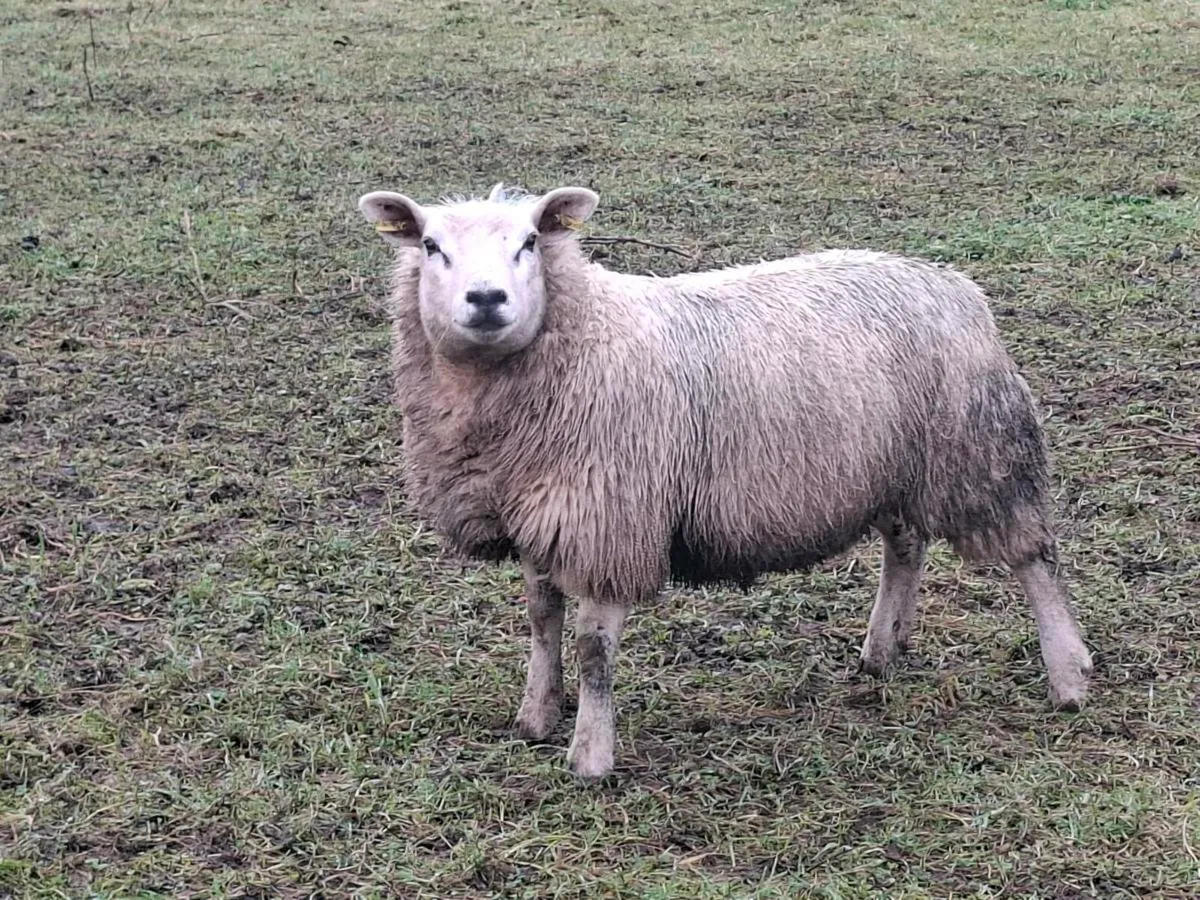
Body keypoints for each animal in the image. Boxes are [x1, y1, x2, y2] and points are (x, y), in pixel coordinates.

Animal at [356, 182, 1093, 780]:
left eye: (531, 241)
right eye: (430, 245)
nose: (486, 300)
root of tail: (952, 282)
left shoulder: (613, 522)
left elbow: (594, 649)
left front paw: (590, 757)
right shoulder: (540, 516)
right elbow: (541, 620)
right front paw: (537, 716)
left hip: (981, 450)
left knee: (1035, 557)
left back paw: (1069, 675)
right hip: (888, 465)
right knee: (905, 546)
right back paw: (881, 651)